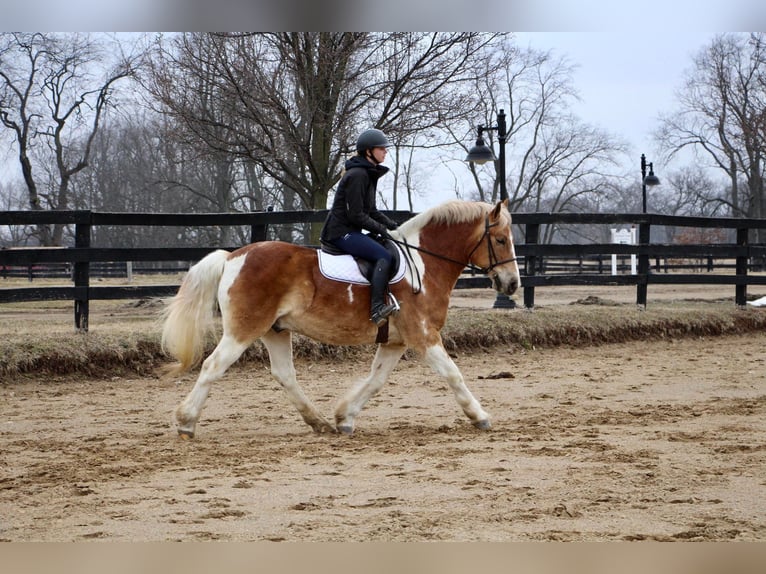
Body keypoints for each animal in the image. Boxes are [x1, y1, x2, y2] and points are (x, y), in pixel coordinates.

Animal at [161, 200, 520, 438]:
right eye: (501, 240)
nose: (512, 284)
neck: (423, 263)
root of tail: (233, 256)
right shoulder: (423, 335)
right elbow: (453, 374)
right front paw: (479, 416)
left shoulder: (396, 341)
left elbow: (376, 380)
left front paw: (345, 417)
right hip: (243, 330)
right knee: (212, 367)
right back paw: (186, 422)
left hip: (275, 331)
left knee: (284, 375)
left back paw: (318, 422)